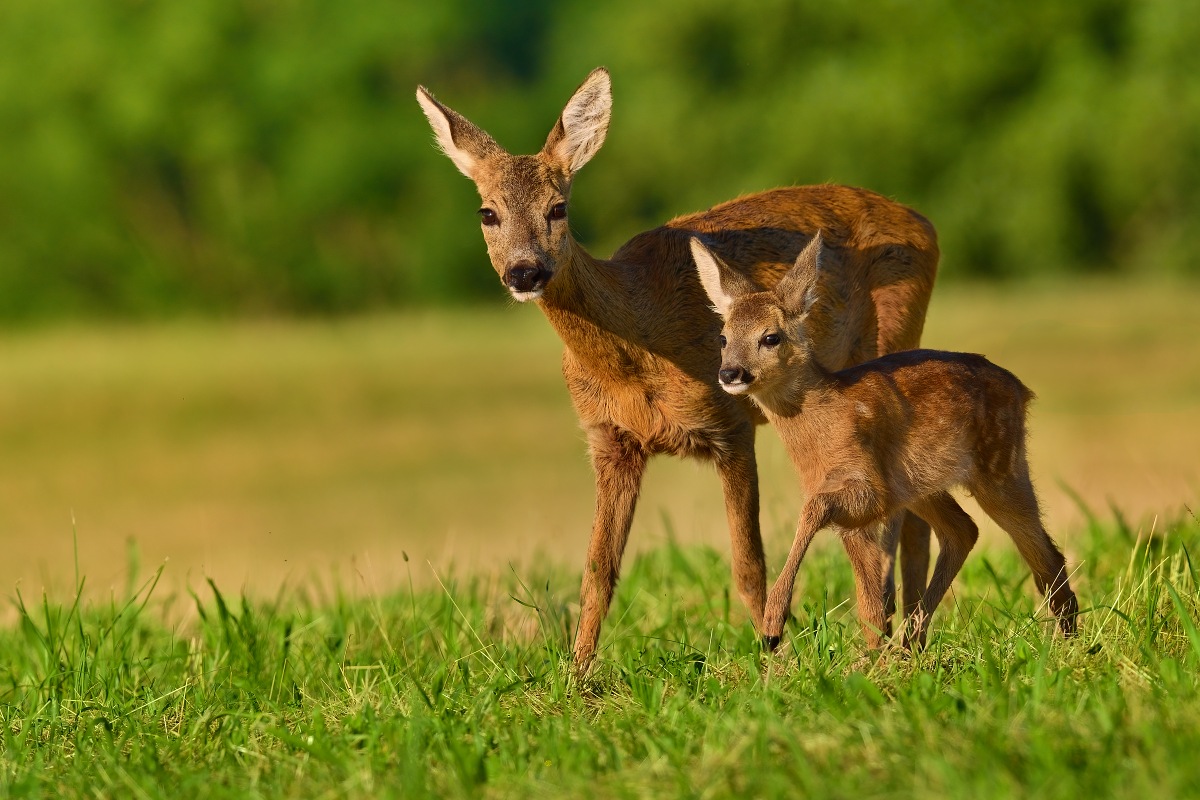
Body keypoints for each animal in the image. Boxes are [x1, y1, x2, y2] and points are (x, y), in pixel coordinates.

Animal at [417, 68, 940, 671]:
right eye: (487, 212)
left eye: (558, 208)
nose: (525, 272)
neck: (637, 349)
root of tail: (927, 225)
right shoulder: (610, 440)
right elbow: (597, 572)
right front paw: (577, 676)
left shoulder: (731, 424)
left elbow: (748, 565)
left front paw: (774, 658)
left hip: (893, 340)